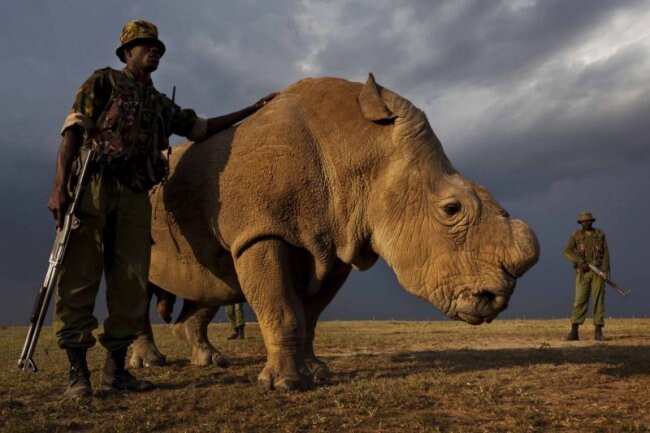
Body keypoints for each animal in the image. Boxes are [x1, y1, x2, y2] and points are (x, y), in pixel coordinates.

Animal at [130, 72, 536, 390]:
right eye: (452, 209)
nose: (496, 300)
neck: (359, 147)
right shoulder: (262, 231)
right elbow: (283, 308)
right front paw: (287, 385)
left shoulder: (339, 242)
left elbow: (309, 315)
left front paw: (317, 373)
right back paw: (149, 363)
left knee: (209, 284)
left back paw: (210, 360)